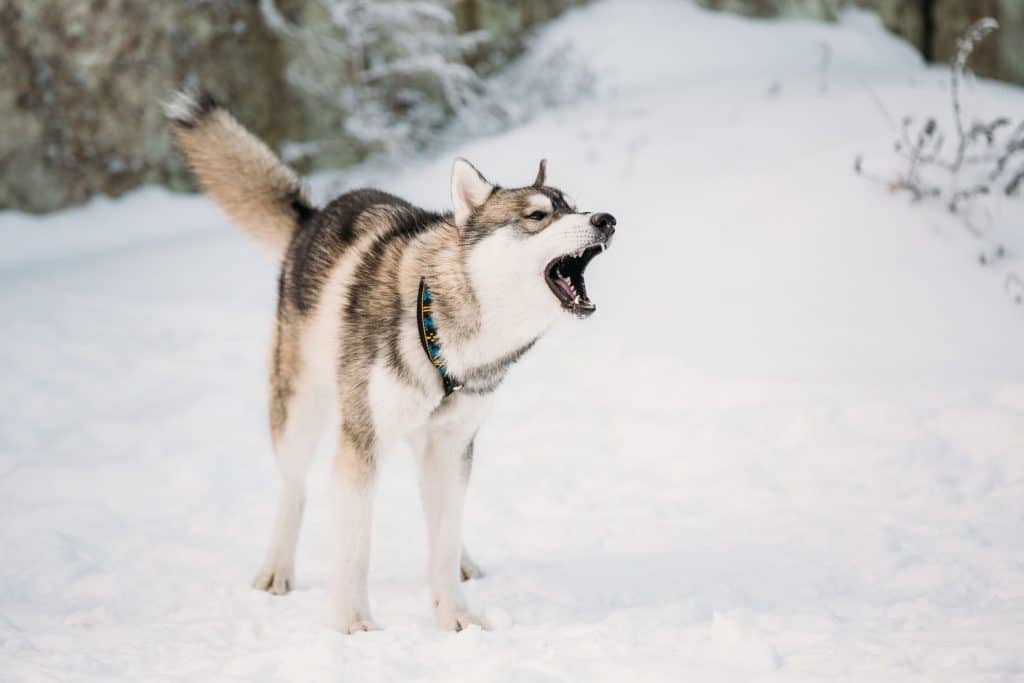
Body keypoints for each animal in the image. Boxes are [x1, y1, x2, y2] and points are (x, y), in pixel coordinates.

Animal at [167, 92, 614, 634]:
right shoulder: (362, 443)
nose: (606, 219)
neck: (441, 324)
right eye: (537, 216)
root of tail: (311, 216)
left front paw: (455, 616)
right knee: (294, 489)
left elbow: (442, 541)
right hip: (300, 411)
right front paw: (354, 624)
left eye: (575, 206)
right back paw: (276, 569)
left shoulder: (453, 445)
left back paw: (463, 562)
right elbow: (355, 550)